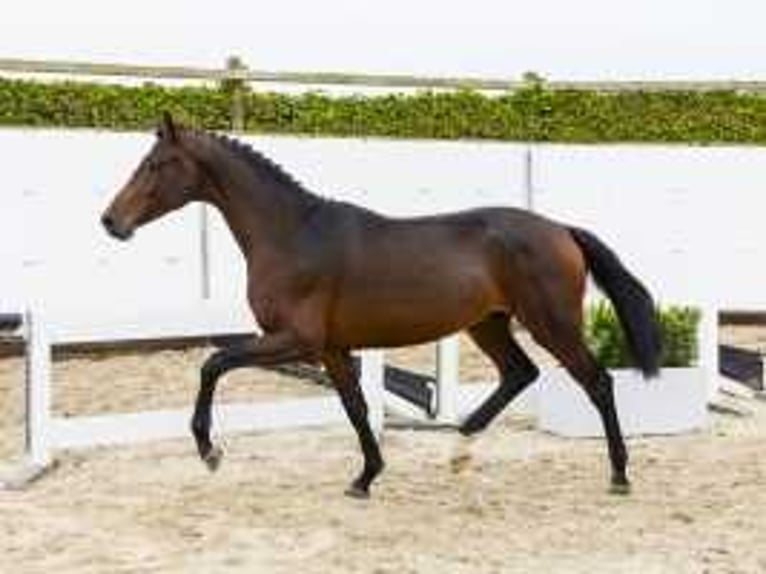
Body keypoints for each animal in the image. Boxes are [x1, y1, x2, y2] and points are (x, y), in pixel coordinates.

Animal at [102, 113, 664, 500]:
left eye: (155, 165)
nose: (110, 221)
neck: (292, 234)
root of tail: (561, 229)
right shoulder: (330, 349)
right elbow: (355, 408)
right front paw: (365, 478)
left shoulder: (296, 341)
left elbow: (214, 362)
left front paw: (209, 451)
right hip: (488, 324)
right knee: (519, 374)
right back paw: (459, 451)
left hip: (551, 323)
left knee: (597, 381)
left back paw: (619, 474)